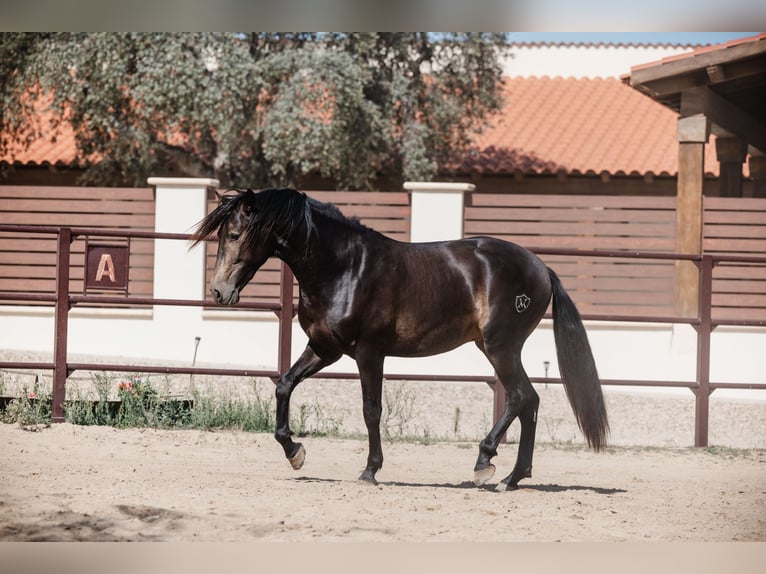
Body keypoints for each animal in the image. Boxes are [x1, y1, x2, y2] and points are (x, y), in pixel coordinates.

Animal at [194, 188, 612, 490]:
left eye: (235, 234)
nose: (218, 292)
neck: (343, 267)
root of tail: (541, 267)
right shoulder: (325, 349)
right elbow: (283, 385)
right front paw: (295, 451)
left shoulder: (369, 353)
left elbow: (371, 410)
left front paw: (370, 471)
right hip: (496, 348)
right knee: (530, 401)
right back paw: (512, 477)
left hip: (500, 347)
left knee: (521, 397)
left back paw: (486, 463)